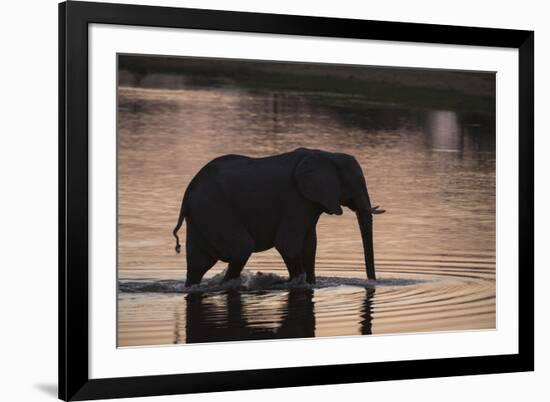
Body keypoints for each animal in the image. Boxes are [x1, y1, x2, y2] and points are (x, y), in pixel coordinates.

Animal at [175, 148, 386, 286]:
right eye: (355, 182)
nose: (372, 283)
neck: (327, 155)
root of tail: (188, 192)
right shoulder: (295, 200)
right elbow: (288, 245)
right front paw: (298, 283)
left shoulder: (310, 204)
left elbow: (309, 248)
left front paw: (311, 283)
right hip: (215, 210)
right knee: (242, 249)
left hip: (202, 217)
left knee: (197, 264)